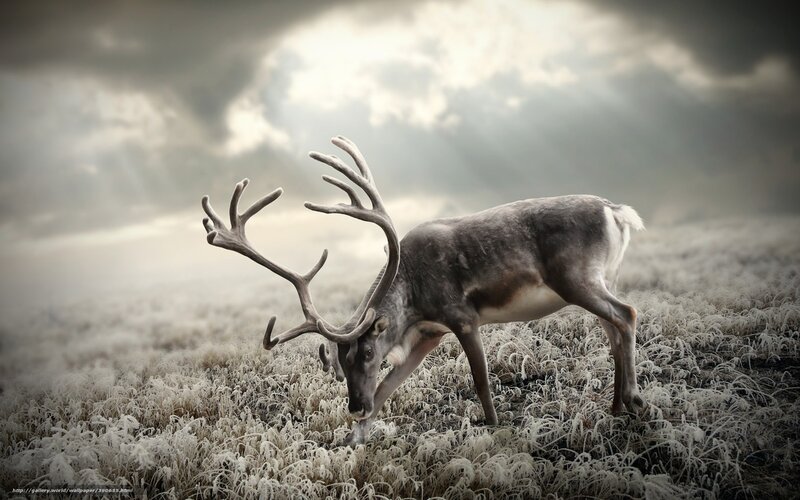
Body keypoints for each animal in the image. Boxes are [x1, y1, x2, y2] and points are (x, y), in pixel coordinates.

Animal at [202, 136, 647, 446]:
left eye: (367, 352)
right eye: (340, 361)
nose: (354, 406)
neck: (413, 299)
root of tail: (617, 212)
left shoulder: (461, 317)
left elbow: (481, 381)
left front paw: (494, 427)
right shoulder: (429, 334)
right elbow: (387, 387)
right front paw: (353, 439)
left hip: (576, 279)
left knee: (626, 314)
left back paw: (635, 399)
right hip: (599, 279)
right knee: (613, 329)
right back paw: (616, 406)